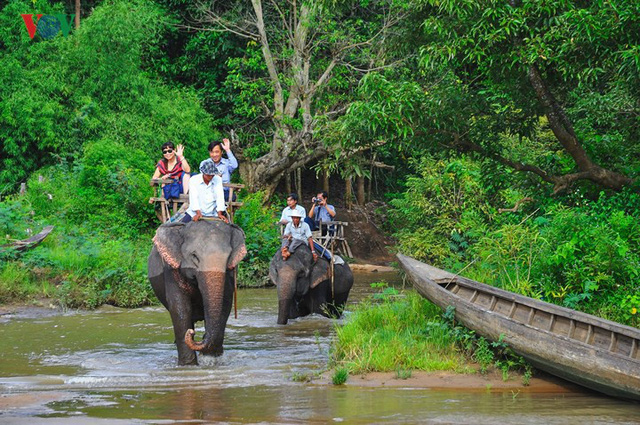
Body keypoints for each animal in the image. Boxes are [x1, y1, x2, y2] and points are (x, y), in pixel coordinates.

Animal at [147, 219, 245, 364]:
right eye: (194, 256)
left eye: (228, 257)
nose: (192, 334)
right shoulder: (170, 270)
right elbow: (180, 308)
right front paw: (188, 365)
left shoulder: (230, 275)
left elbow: (225, 305)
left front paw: (212, 360)